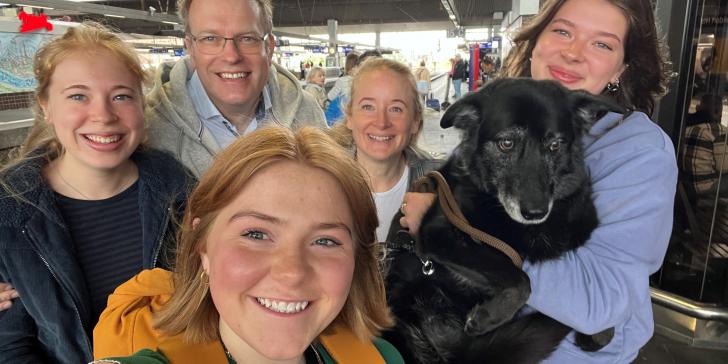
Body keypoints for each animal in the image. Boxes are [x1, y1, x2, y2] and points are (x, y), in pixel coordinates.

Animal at [384, 78, 624, 362]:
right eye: (506, 143)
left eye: (554, 145)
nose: (536, 212)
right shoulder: (439, 232)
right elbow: (520, 277)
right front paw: (488, 316)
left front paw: (601, 331)